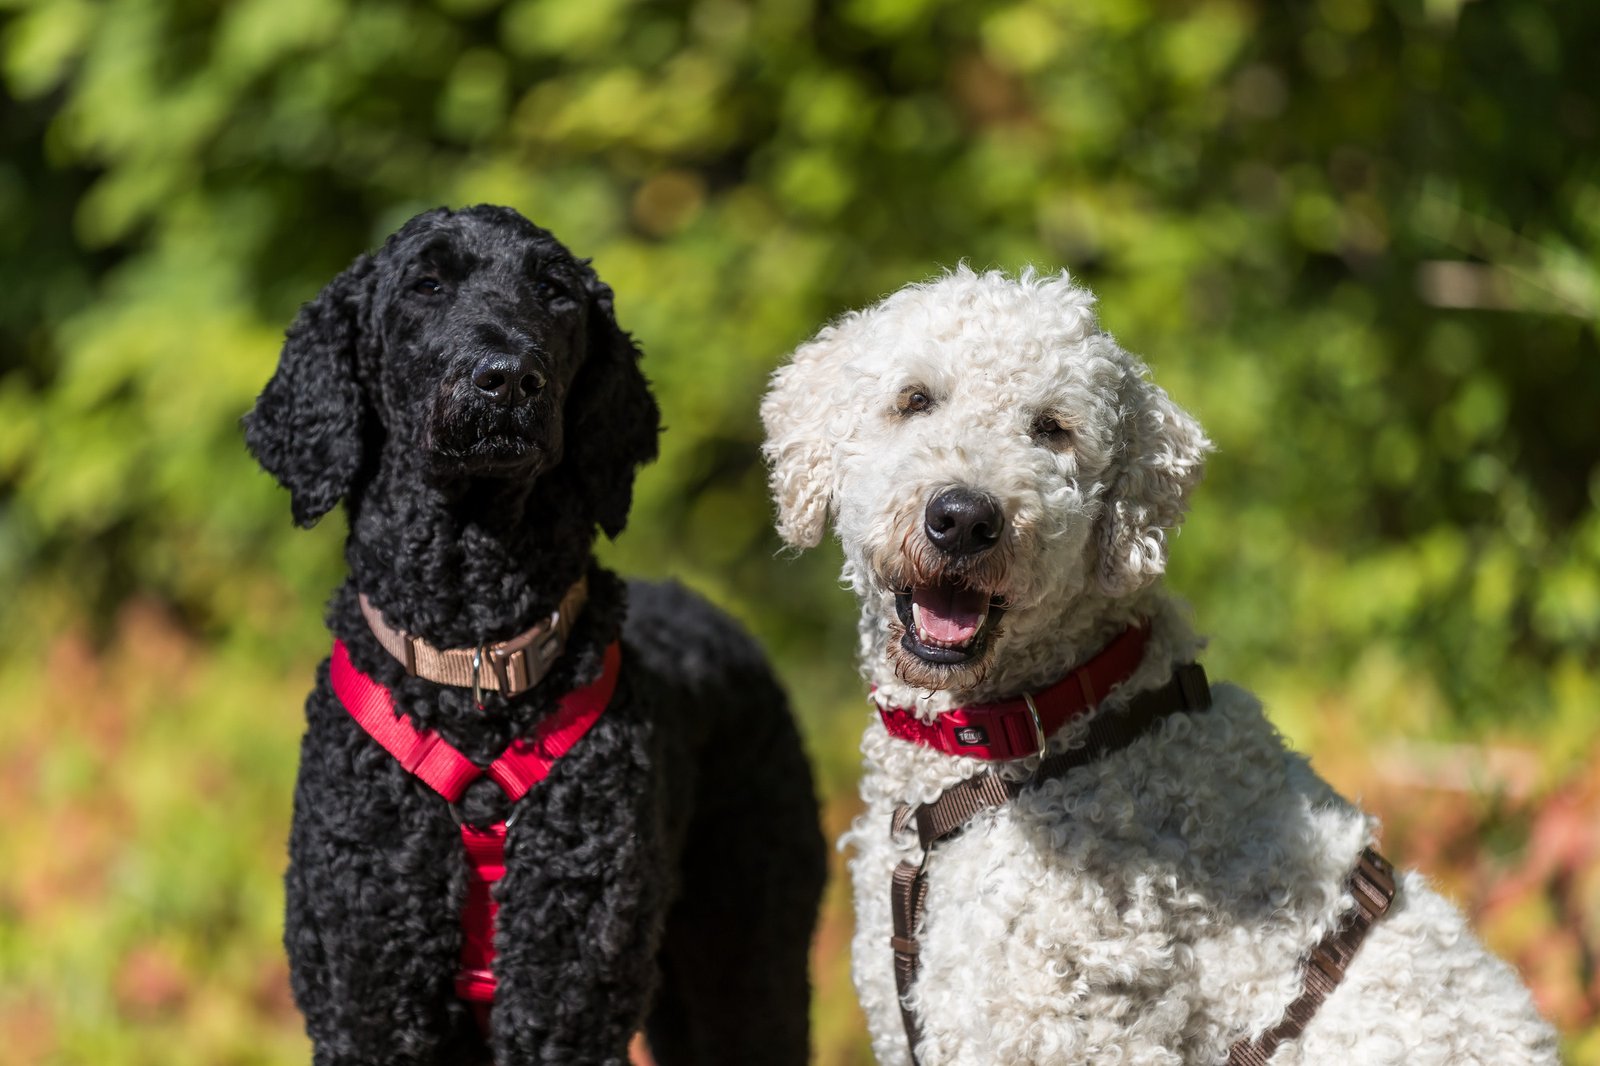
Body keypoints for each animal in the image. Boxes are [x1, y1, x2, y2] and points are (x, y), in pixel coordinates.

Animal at [245, 204, 825, 1066]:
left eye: (555, 293)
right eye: (426, 284)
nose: (509, 376)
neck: (474, 666)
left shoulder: (566, 999)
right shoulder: (368, 1001)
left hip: (748, 956)